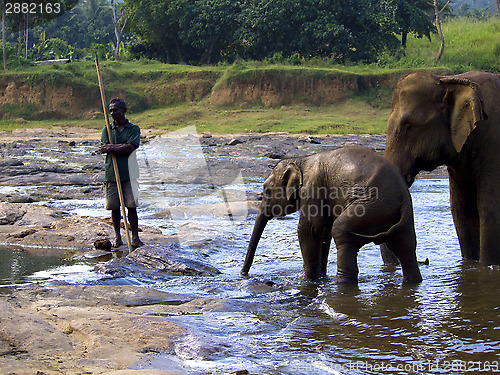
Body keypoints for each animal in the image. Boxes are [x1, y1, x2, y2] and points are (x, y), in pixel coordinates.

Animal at [242, 145, 422, 284]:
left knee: (341, 231)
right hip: (397, 216)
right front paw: (320, 278)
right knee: (405, 248)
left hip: (371, 206)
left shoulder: (313, 189)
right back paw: (413, 282)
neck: (301, 160)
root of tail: (403, 198)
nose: (243, 274)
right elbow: (323, 232)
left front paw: (308, 281)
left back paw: (340, 283)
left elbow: (309, 231)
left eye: (266, 191)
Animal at [384, 70, 498, 268]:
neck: (448, 81)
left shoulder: (493, 144)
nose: (426, 259)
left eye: (409, 127)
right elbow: (461, 211)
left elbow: (489, 208)